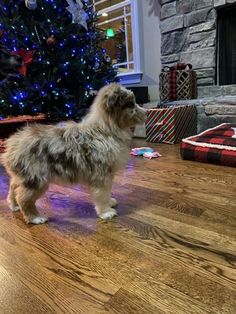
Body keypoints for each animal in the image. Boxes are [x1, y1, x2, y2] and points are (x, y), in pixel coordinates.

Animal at [1, 84, 146, 223]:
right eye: (130, 104)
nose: (146, 113)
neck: (105, 129)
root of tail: (11, 146)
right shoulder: (101, 174)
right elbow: (102, 194)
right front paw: (106, 212)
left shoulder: (108, 174)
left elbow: (108, 191)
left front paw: (110, 202)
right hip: (36, 179)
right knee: (23, 197)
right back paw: (35, 218)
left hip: (22, 176)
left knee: (13, 188)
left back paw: (14, 206)